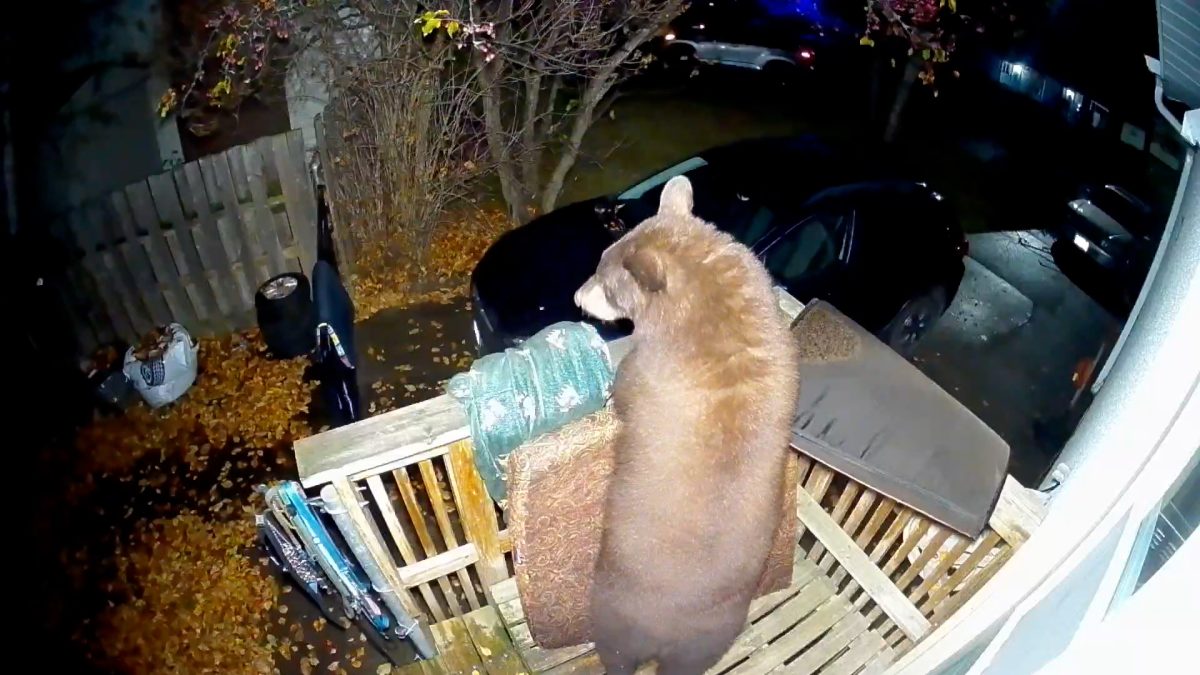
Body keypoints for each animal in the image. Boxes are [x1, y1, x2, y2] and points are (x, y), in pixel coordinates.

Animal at [574, 175, 801, 675]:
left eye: (606, 280)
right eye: (598, 262)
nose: (576, 297)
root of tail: (665, 630)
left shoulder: (651, 365)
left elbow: (627, 389)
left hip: (612, 603)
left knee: (614, 649)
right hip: (713, 631)